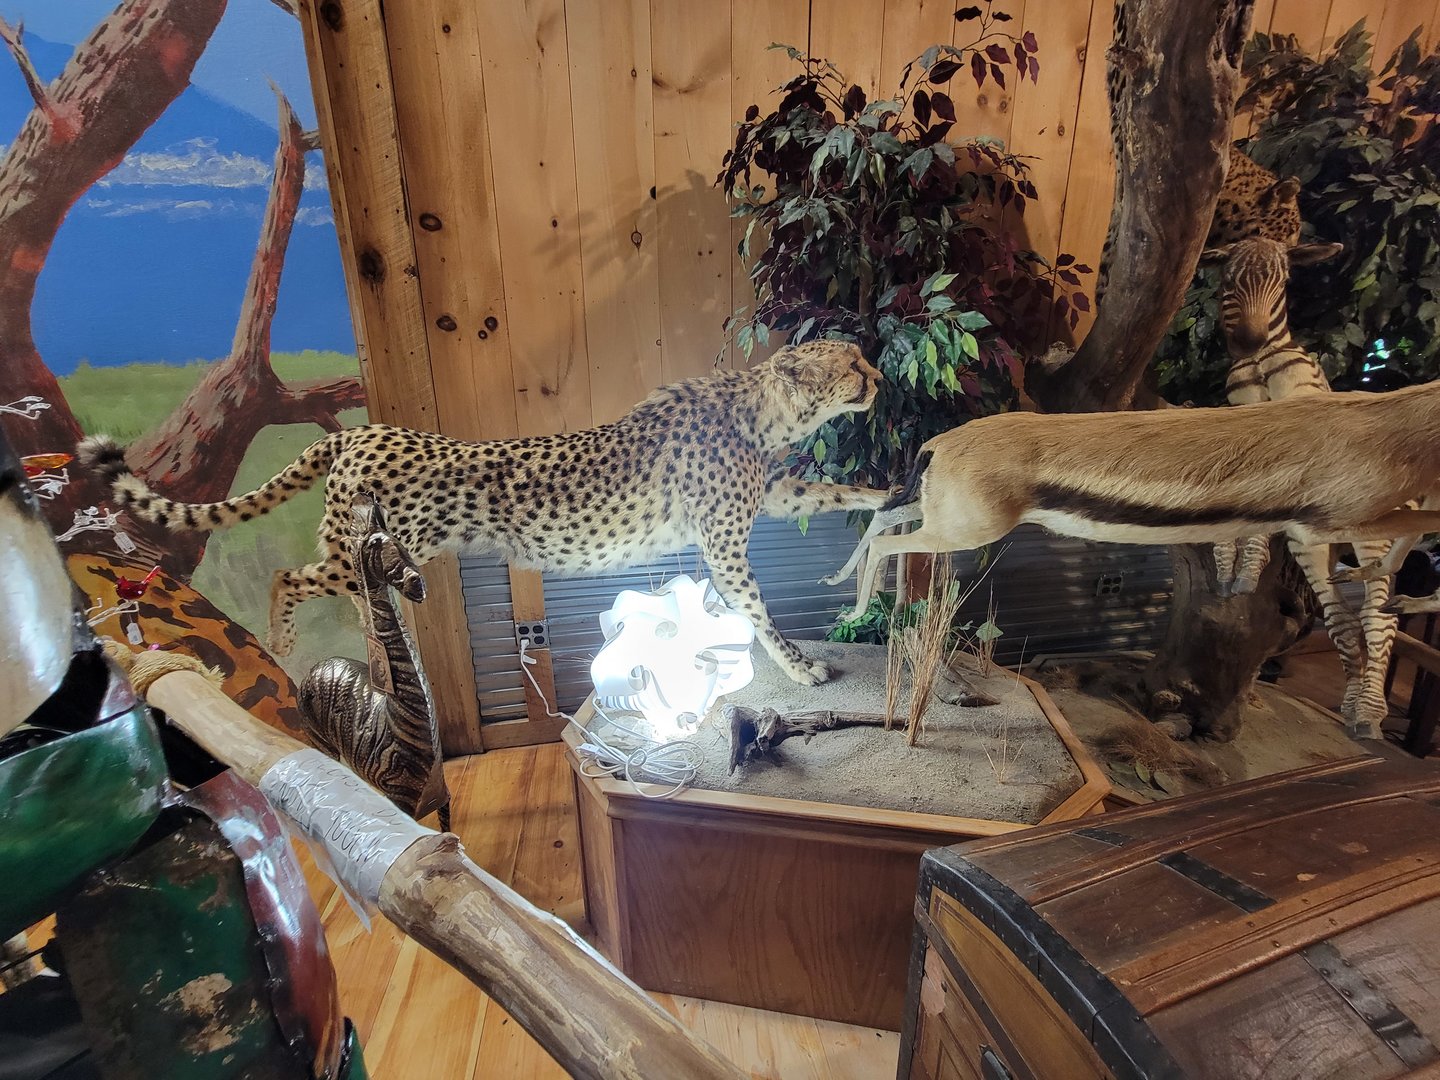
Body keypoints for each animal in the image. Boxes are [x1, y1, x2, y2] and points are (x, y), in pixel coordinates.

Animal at [77, 341, 890, 687]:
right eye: (852, 364)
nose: (882, 379)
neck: (762, 409)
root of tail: (361, 431)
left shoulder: (764, 497)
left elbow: (820, 491)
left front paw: (884, 492)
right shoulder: (722, 542)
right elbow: (756, 608)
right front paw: (800, 669)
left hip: (375, 556)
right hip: (365, 551)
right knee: (288, 576)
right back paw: (282, 644)